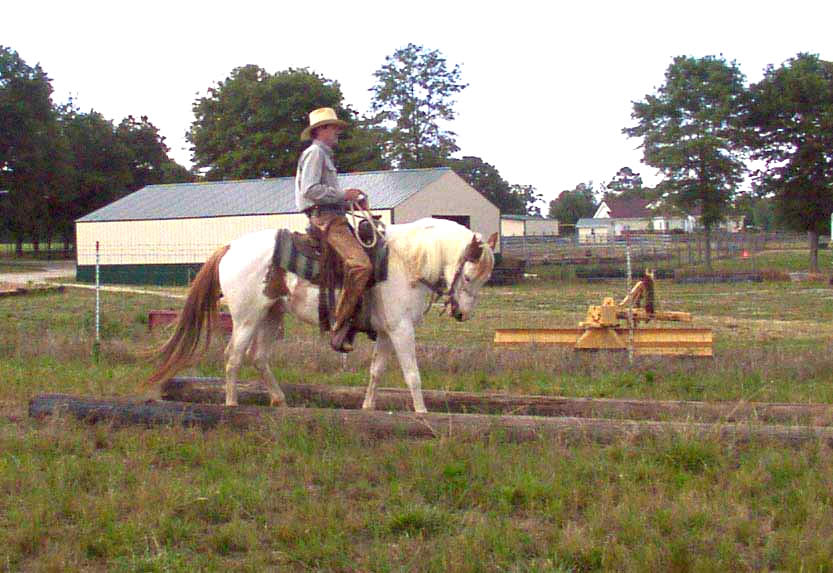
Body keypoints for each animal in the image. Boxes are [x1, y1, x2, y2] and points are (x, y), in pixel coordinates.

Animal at [149, 216, 494, 412]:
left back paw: (280, 401)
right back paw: (232, 405)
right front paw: (422, 414)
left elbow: (377, 371)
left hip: (272, 315)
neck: (407, 261)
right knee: (233, 357)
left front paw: (368, 408)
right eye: (467, 277)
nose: (462, 314)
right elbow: (412, 375)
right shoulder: (401, 329)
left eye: (484, 279)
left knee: (258, 357)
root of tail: (230, 247)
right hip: (247, 318)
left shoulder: (387, 331)